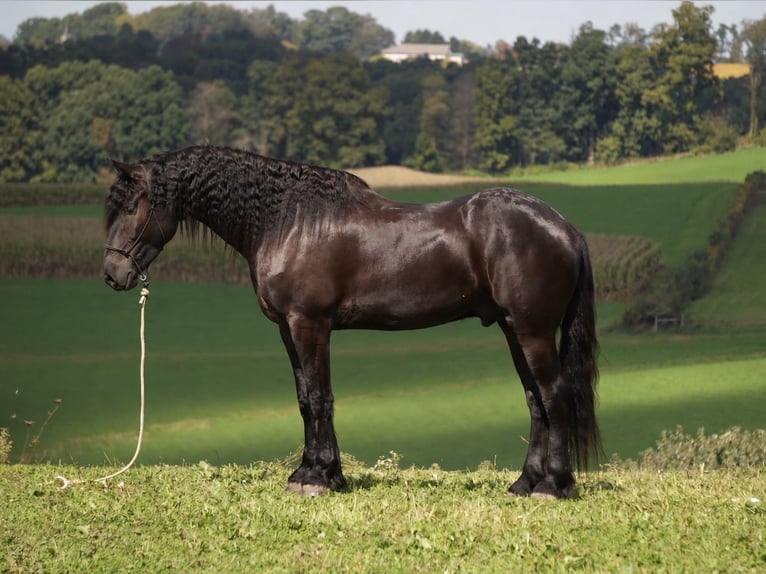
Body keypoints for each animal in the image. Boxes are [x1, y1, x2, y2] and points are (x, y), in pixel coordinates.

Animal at [103, 145, 601, 499]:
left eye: (131, 207)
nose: (112, 274)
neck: (289, 221)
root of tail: (564, 227)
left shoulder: (309, 324)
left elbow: (320, 397)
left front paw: (319, 478)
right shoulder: (288, 329)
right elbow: (305, 399)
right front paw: (314, 471)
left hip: (533, 331)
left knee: (554, 395)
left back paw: (553, 486)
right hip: (513, 329)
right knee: (535, 400)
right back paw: (524, 483)